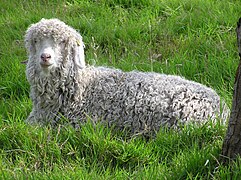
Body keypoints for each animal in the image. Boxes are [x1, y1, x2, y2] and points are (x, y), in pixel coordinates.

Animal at [24, 18, 230, 135]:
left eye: (62, 42)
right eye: (36, 41)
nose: (45, 57)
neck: (81, 90)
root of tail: (222, 108)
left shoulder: (75, 125)